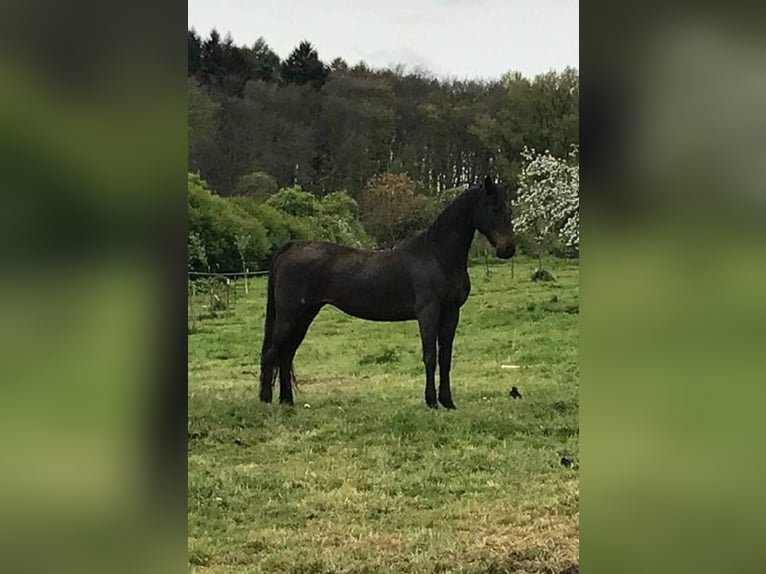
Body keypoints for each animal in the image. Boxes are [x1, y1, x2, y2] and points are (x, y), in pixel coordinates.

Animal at [260, 176, 516, 410]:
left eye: (509, 209)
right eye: (494, 208)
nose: (508, 249)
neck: (436, 256)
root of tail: (291, 247)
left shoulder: (451, 312)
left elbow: (445, 357)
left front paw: (448, 402)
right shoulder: (428, 312)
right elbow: (430, 356)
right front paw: (432, 402)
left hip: (304, 316)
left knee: (285, 355)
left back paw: (287, 402)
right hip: (289, 317)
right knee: (272, 354)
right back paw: (266, 401)